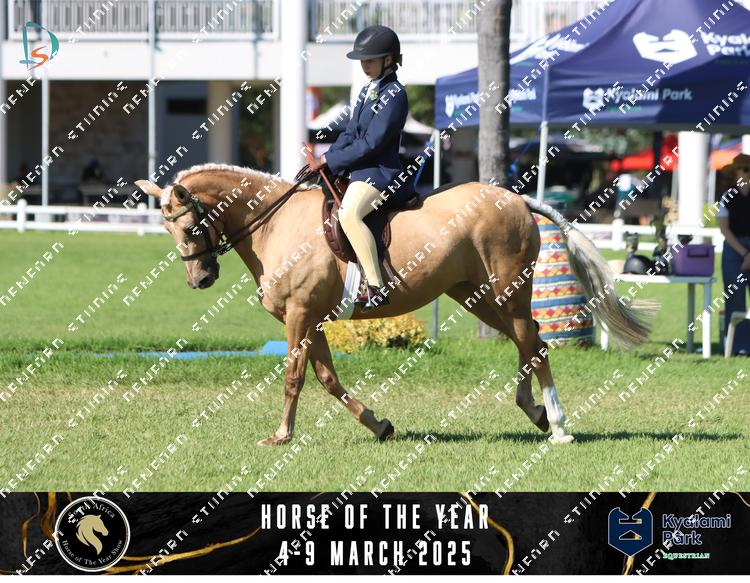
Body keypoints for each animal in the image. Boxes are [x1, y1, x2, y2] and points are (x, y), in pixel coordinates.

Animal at [135, 163, 650, 446]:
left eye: (189, 226)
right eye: (166, 229)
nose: (200, 279)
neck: (275, 223)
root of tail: (517, 199)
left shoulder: (299, 316)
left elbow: (294, 378)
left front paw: (281, 436)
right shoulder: (312, 319)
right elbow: (327, 378)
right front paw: (378, 425)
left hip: (507, 291)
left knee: (535, 345)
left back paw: (559, 425)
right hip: (477, 297)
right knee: (530, 342)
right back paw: (535, 411)